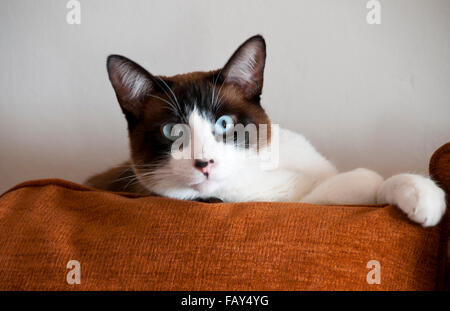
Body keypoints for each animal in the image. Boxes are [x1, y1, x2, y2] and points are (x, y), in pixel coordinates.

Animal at [85, 35, 446, 228]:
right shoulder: (298, 202)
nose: (204, 163)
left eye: (224, 124)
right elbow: (359, 181)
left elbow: (370, 182)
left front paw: (422, 196)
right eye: (172, 130)